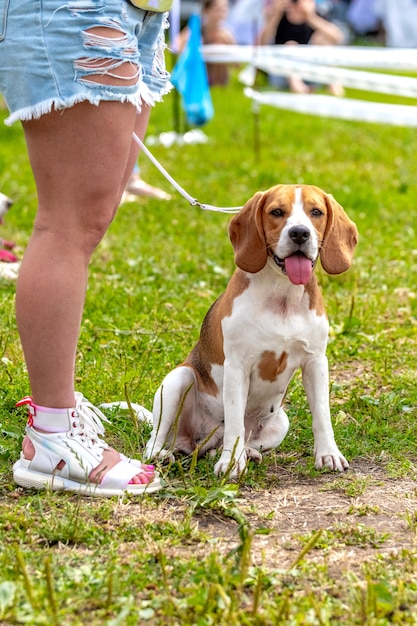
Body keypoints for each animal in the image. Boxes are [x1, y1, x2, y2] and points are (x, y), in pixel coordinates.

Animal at [145, 183, 356, 476]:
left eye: (316, 212)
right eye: (276, 212)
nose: (299, 233)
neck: (283, 297)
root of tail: (202, 439)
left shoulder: (316, 362)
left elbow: (322, 415)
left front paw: (328, 455)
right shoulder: (237, 366)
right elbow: (235, 420)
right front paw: (232, 463)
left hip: (281, 422)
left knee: (229, 442)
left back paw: (245, 452)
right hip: (178, 380)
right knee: (158, 439)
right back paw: (165, 455)